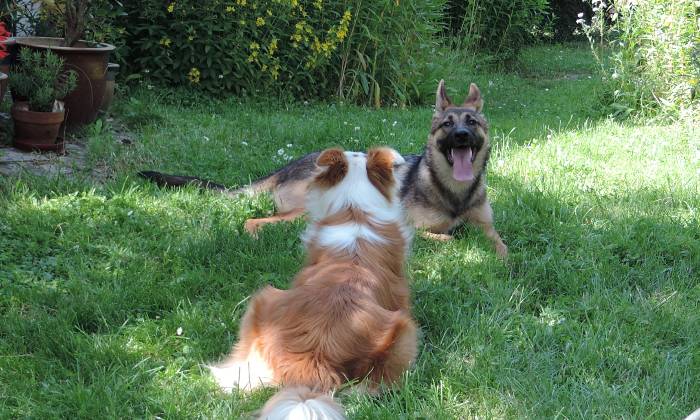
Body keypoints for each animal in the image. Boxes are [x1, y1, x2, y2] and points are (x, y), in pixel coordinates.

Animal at [139, 80, 506, 258]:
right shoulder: (413, 227)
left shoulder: (487, 225)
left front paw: (503, 259)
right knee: (253, 220)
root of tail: (288, 165)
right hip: (307, 210)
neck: (455, 192)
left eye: (472, 122)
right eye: (448, 124)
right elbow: (450, 237)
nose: (461, 136)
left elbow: (500, 243)